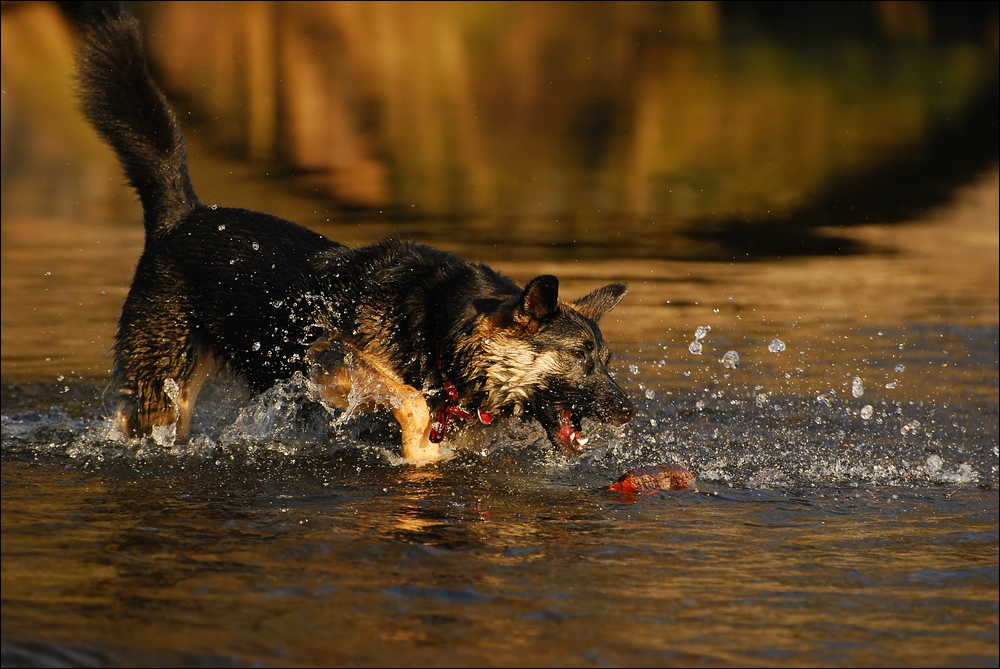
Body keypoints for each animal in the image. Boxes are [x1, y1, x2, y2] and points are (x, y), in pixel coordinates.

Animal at [74, 3, 632, 464]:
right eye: (579, 357)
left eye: (606, 359)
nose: (629, 412)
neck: (440, 329)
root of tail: (182, 216)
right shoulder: (329, 370)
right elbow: (410, 402)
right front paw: (416, 440)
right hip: (165, 393)